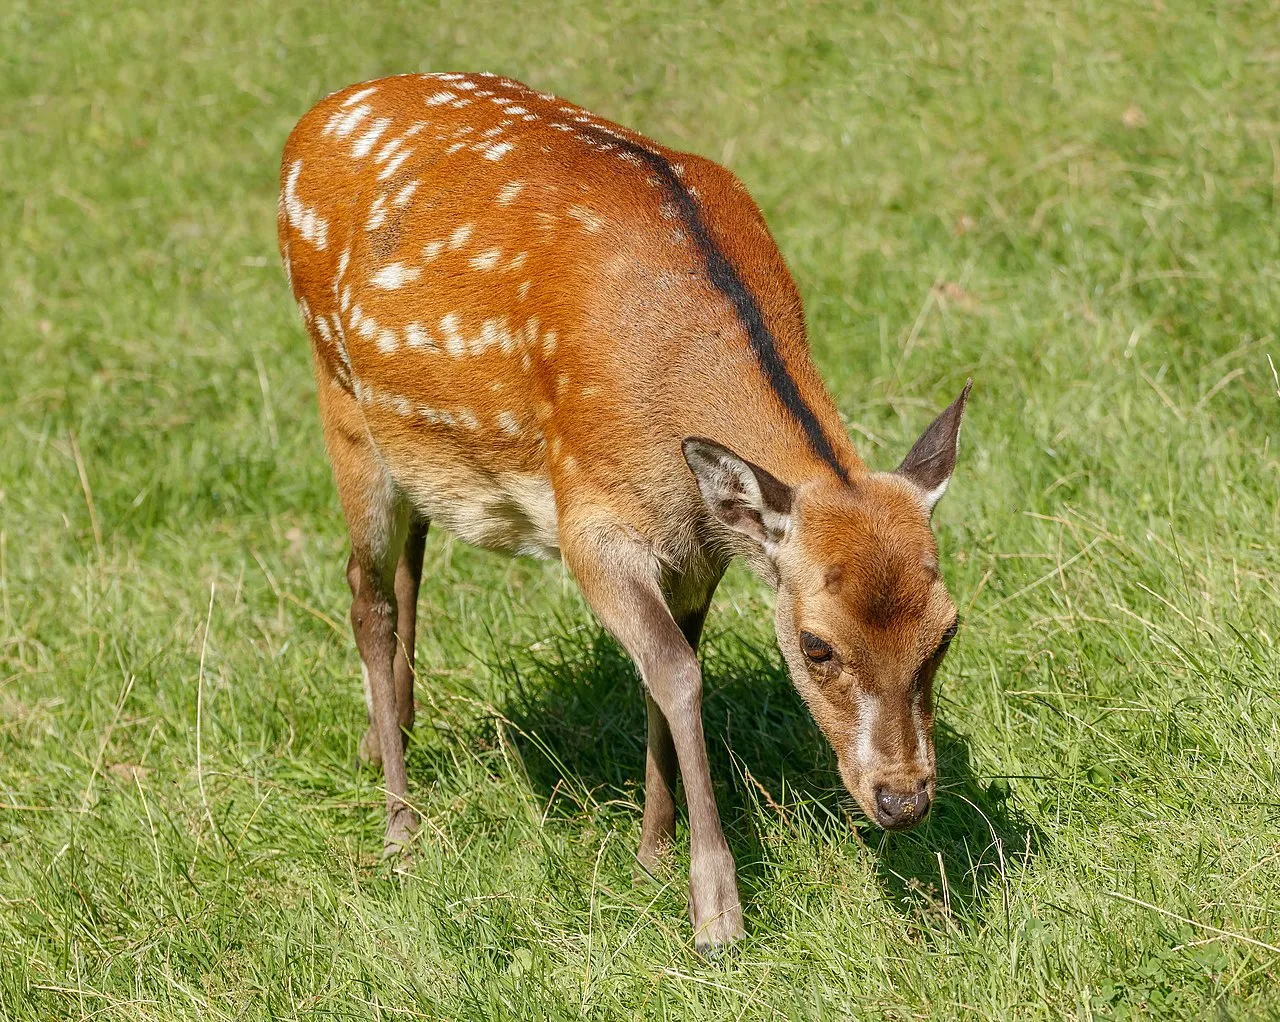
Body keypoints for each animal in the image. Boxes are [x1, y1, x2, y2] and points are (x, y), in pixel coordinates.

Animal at [275, 72, 962, 952]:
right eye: (817, 646)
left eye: (946, 631)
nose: (903, 801)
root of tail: (315, 118)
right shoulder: (589, 519)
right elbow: (676, 673)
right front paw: (714, 910)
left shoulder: (699, 549)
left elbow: (667, 670)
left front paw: (653, 851)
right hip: (340, 396)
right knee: (366, 595)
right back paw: (400, 829)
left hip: (414, 445)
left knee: (409, 563)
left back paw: (382, 737)